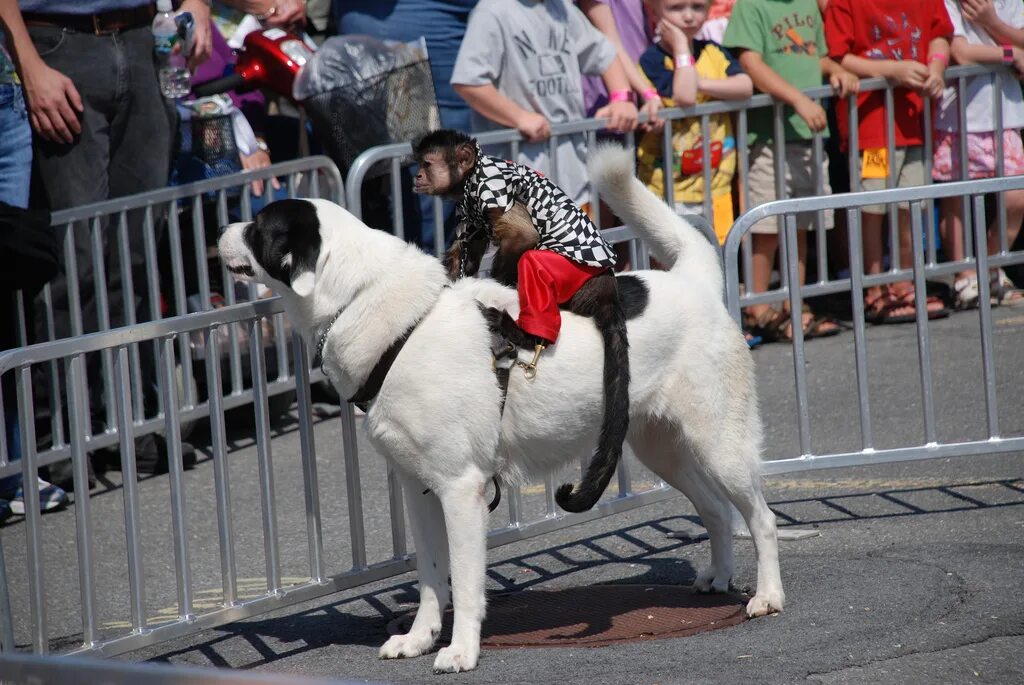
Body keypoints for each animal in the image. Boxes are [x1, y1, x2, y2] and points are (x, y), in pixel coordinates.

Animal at [411, 129, 626, 511]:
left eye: (428, 164)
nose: (417, 176)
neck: (469, 178)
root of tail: (606, 288)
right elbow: (468, 247)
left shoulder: (488, 188)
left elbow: (522, 237)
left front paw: (498, 285)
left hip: (574, 275)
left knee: (533, 261)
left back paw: (526, 333)